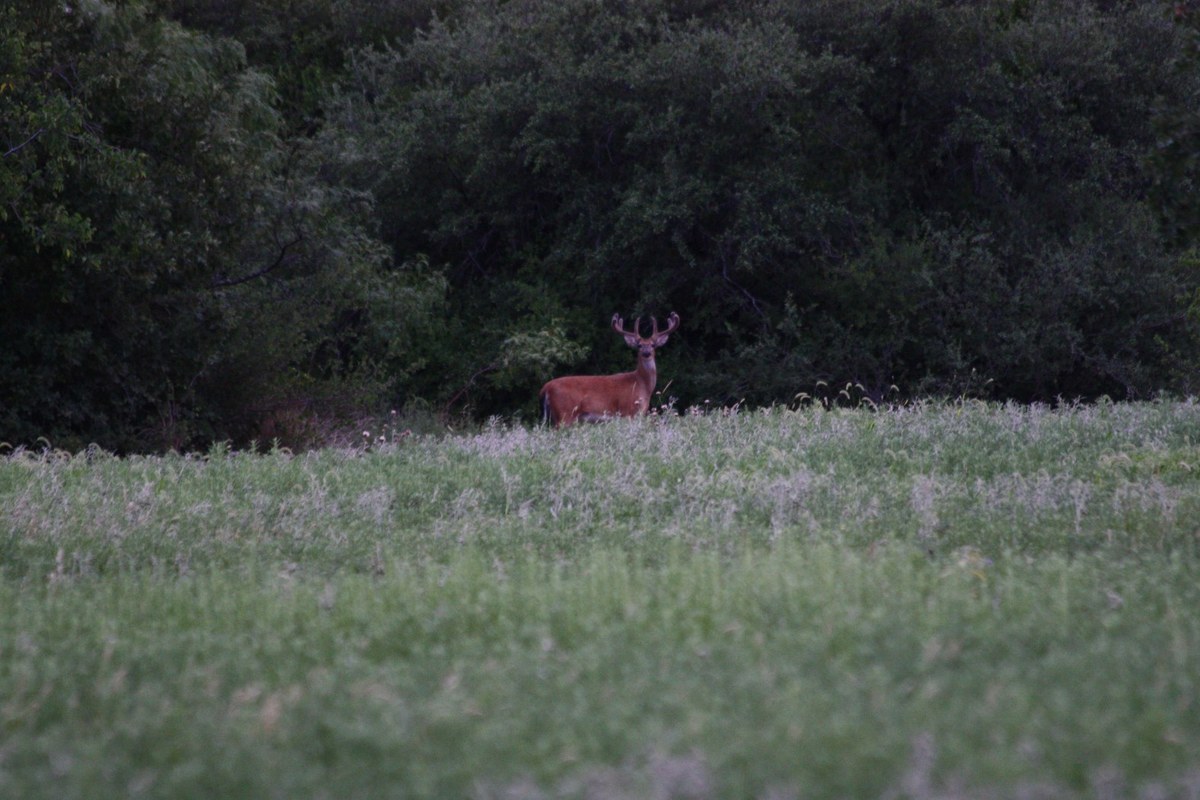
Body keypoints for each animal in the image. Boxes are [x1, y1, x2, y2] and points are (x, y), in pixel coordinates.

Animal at [542, 311, 681, 429]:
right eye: (639, 345)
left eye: (653, 345)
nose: (646, 353)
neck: (641, 384)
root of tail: (545, 388)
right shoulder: (628, 411)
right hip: (564, 414)